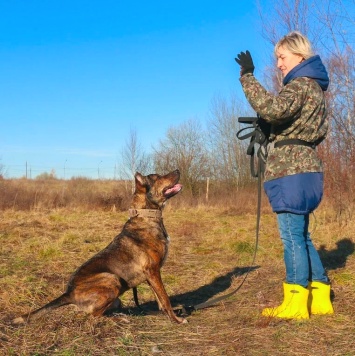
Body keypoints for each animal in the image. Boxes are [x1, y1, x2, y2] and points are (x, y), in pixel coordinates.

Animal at [12, 170, 188, 326]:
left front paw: (168, 314)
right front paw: (176, 320)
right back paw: (120, 319)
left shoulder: (152, 275)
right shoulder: (152, 271)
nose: (178, 170)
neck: (147, 216)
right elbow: (165, 298)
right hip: (112, 278)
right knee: (94, 315)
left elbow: (160, 299)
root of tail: (69, 293)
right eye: (157, 177)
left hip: (116, 297)